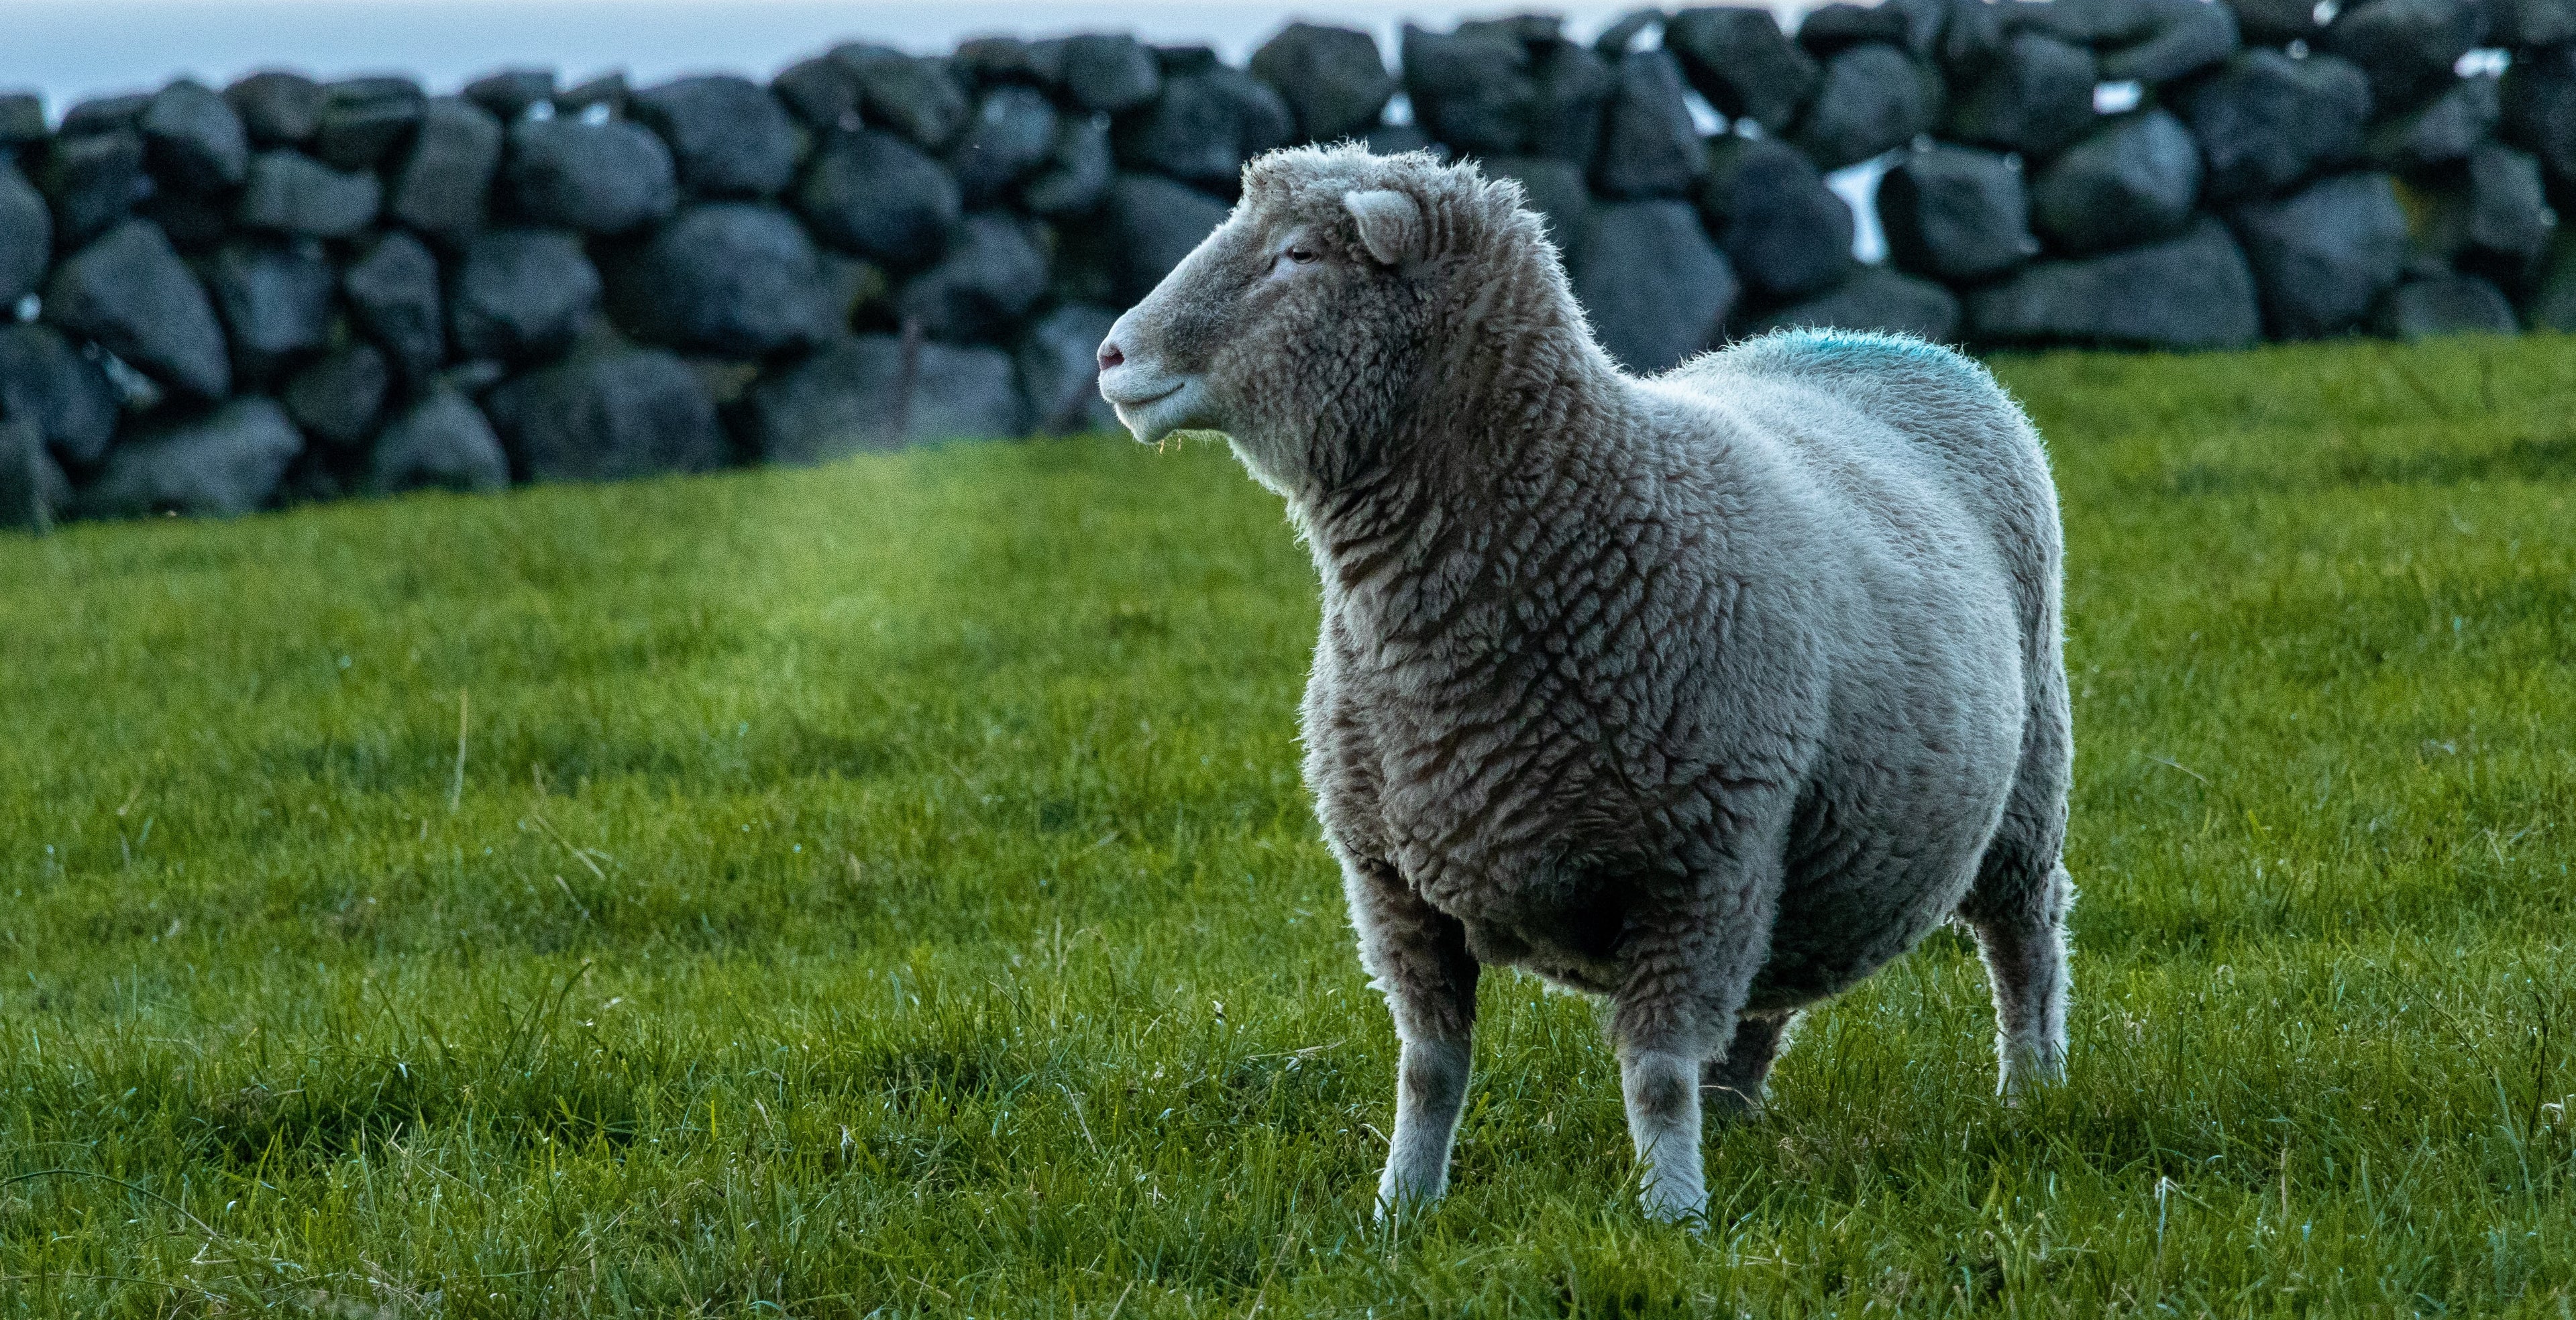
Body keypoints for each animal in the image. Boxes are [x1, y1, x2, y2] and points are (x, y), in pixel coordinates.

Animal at [1087, 139, 2071, 1221]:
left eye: (1300, 254)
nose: (1111, 357)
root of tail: (1882, 337)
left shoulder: (1696, 868)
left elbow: (1656, 1073)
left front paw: (1671, 1215)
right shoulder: (1391, 879)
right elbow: (1429, 1068)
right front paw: (1402, 1207)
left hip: (2018, 790)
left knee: (2024, 939)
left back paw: (2030, 1091)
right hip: (1795, 857)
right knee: (1767, 995)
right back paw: (1740, 1122)